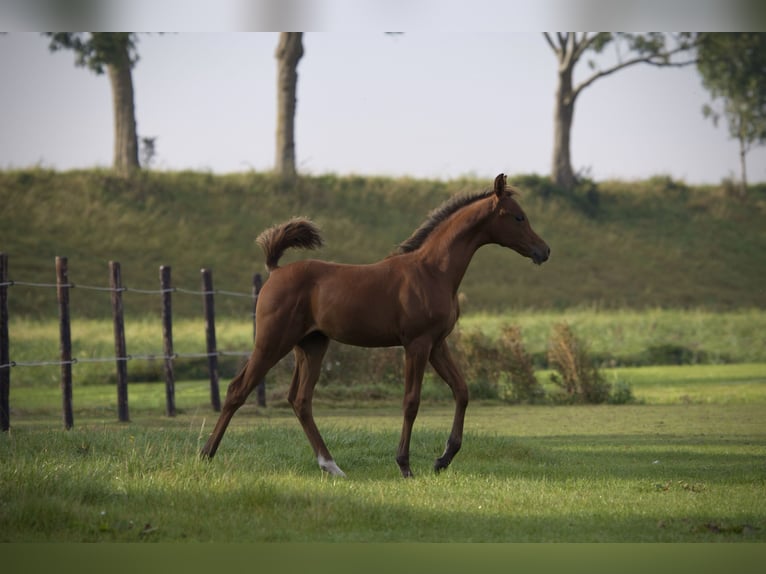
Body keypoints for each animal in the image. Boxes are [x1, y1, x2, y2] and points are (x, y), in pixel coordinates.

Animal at [202, 173, 552, 480]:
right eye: (518, 217)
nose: (544, 250)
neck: (432, 271)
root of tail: (274, 271)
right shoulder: (417, 344)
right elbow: (411, 402)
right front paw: (405, 466)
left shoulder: (437, 344)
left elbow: (462, 391)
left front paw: (443, 459)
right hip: (272, 342)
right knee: (237, 390)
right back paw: (206, 454)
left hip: (312, 345)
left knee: (300, 400)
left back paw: (331, 466)